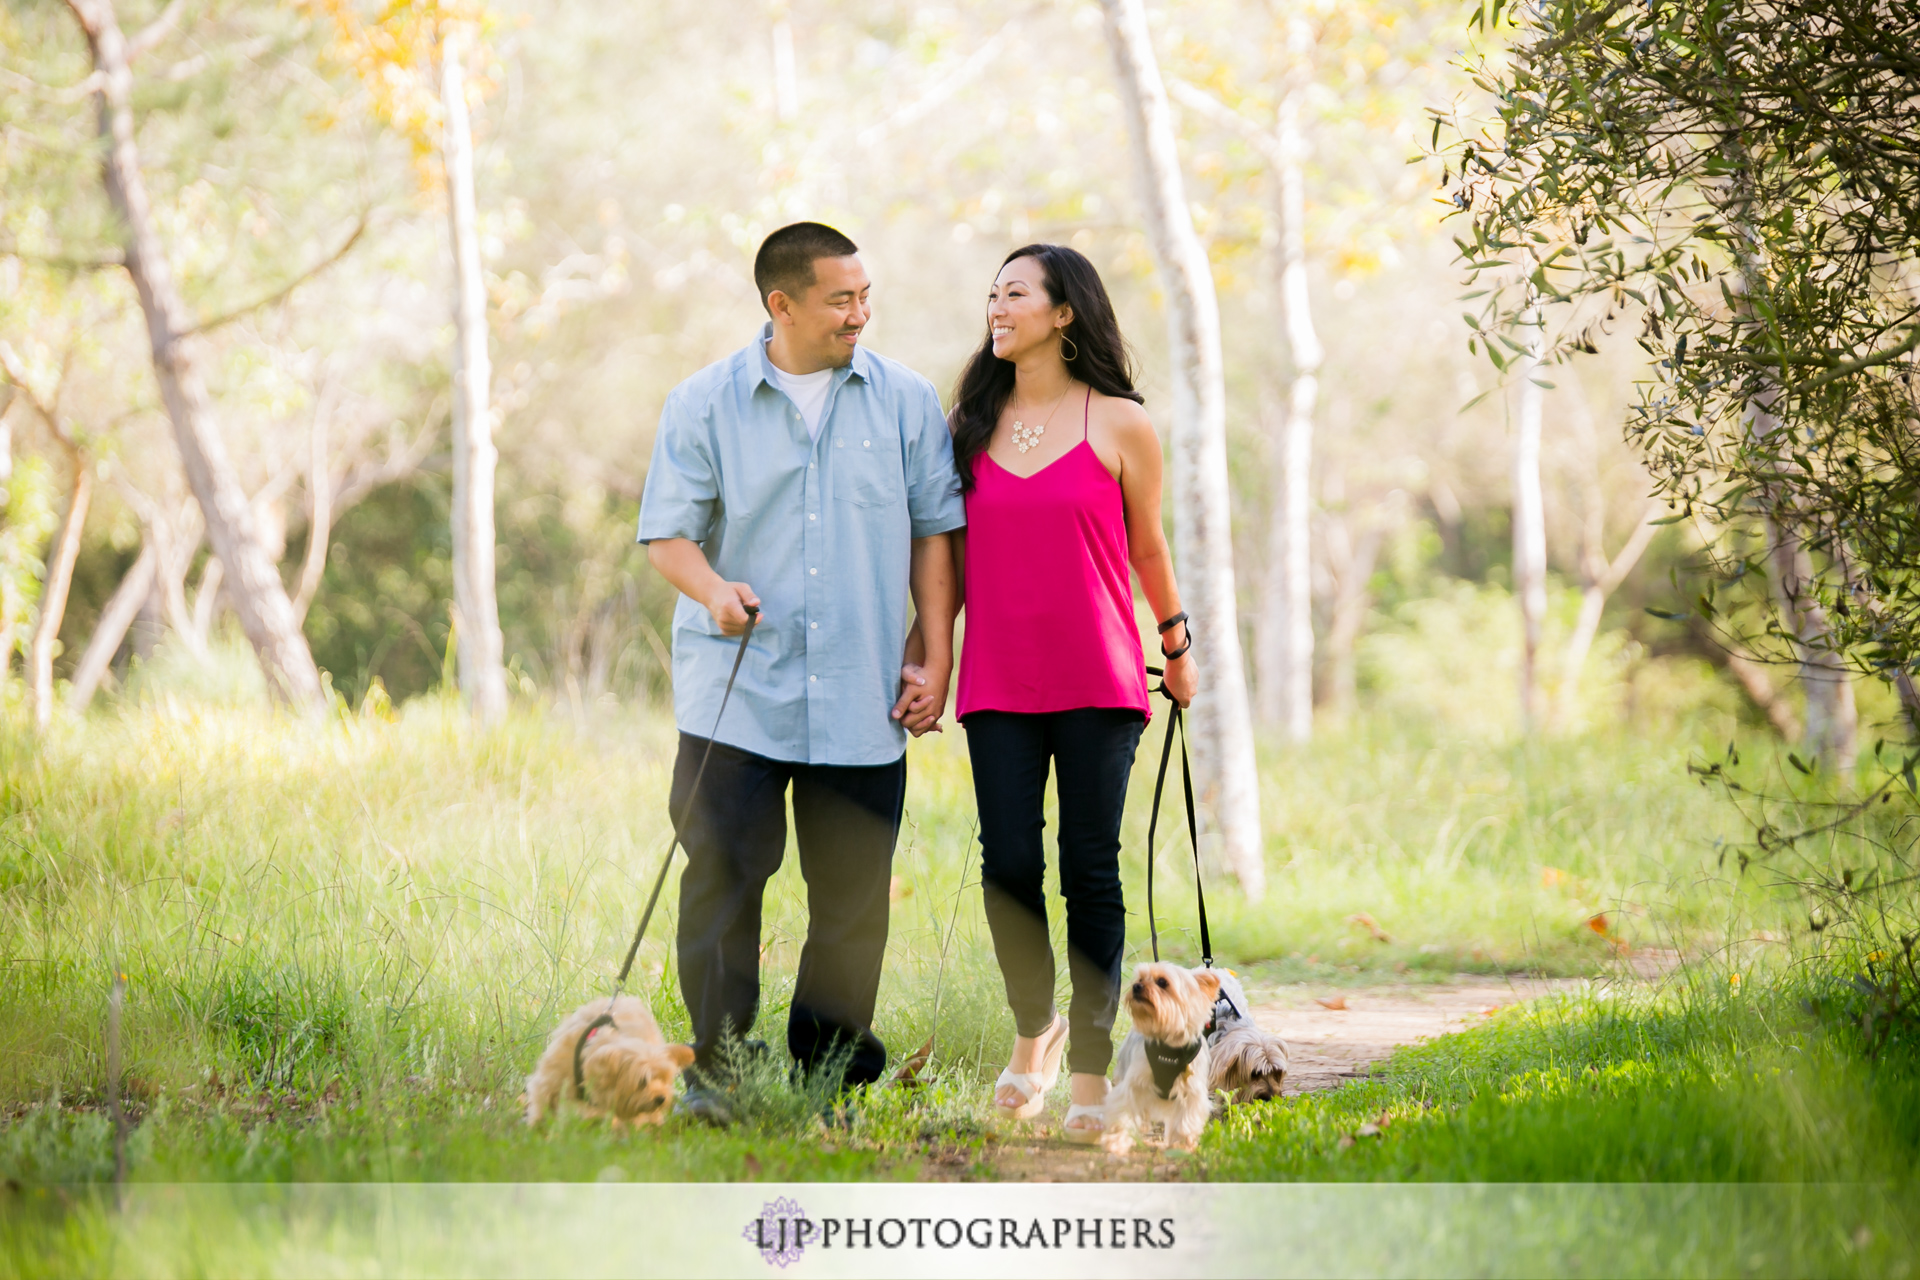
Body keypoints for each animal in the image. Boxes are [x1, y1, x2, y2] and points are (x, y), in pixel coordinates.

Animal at [526, 997, 698, 1128]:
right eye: (642, 1081)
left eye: (663, 1079)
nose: (661, 1098)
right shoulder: (550, 1079)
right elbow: (543, 1102)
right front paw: (536, 1127)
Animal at [1098, 959, 1213, 1159]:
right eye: (1140, 979)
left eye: (1162, 982)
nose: (1136, 986)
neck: (1169, 1044)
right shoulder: (1133, 1086)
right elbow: (1123, 1114)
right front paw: (1116, 1143)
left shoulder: (1191, 1093)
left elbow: (1185, 1123)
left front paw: (1181, 1147)